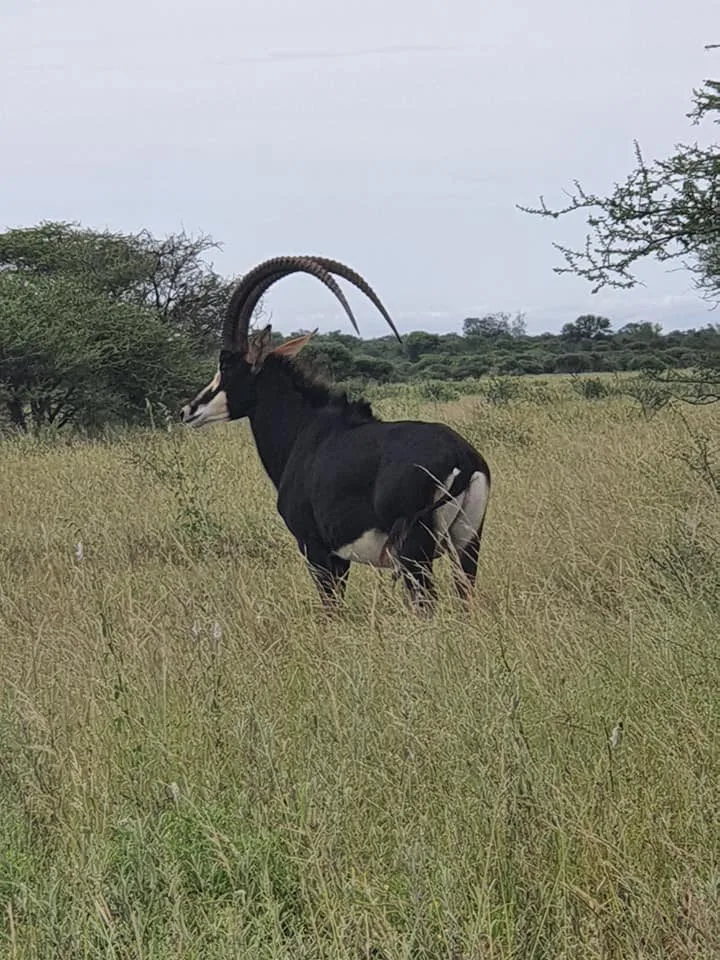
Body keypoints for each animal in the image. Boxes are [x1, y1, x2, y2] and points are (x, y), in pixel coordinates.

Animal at [180, 256, 490, 615]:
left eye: (226, 366)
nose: (188, 411)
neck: (303, 429)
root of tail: (464, 459)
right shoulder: (341, 557)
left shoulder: (316, 547)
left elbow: (331, 610)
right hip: (467, 544)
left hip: (415, 553)